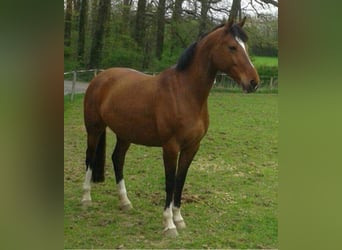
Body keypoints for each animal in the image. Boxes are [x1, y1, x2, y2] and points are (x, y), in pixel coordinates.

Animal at [82, 17, 260, 236]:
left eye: (245, 46)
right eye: (232, 47)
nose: (253, 82)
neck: (184, 92)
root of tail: (99, 77)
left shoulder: (192, 147)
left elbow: (180, 181)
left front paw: (179, 219)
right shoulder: (171, 147)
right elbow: (169, 182)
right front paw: (169, 224)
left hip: (125, 134)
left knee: (118, 159)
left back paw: (125, 202)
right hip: (94, 128)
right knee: (90, 158)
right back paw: (86, 199)